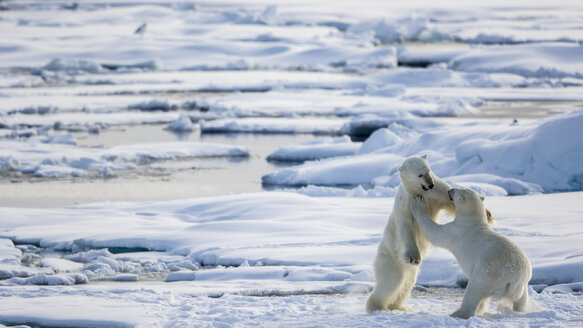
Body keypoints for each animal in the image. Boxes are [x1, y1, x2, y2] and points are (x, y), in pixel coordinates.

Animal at [364, 155, 456, 314]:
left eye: (428, 171)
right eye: (419, 175)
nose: (430, 184)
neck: (420, 192)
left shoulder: (437, 191)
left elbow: (449, 200)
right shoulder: (406, 203)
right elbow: (407, 228)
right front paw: (414, 257)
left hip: (409, 271)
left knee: (407, 282)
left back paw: (399, 306)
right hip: (391, 258)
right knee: (392, 281)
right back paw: (377, 307)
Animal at [408, 188, 532, 320]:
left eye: (456, 191)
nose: (450, 190)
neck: (472, 220)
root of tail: (515, 277)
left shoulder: (456, 231)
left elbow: (435, 232)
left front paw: (417, 203)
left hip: (488, 273)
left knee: (474, 290)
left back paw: (458, 313)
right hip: (523, 283)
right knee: (521, 300)